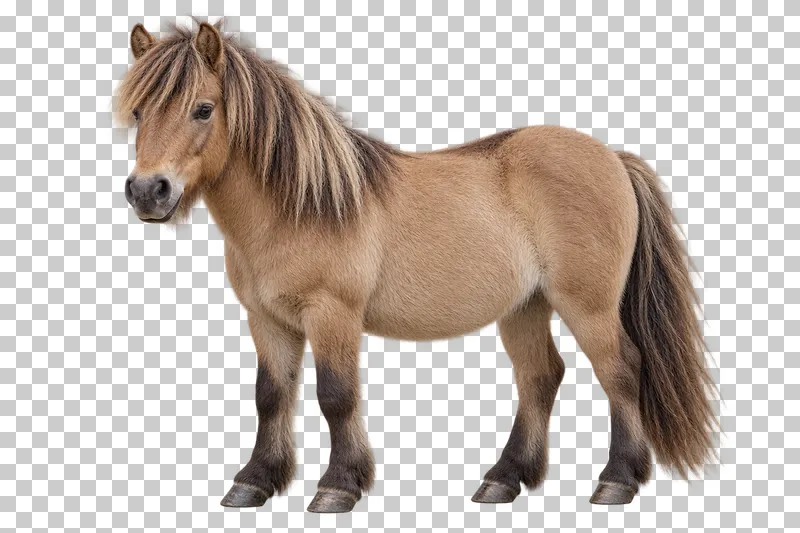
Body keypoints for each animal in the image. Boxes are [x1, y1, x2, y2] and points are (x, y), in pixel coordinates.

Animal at [115, 21, 717, 513]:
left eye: (203, 108)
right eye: (139, 112)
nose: (148, 191)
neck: (301, 205)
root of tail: (614, 158)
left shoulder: (333, 315)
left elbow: (336, 395)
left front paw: (338, 487)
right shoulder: (268, 319)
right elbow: (271, 395)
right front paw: (255, 482)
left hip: (587, 305)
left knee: (622, 371)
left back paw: (617, 481)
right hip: (526, 307)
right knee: (541, 377)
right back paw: (504, 479)